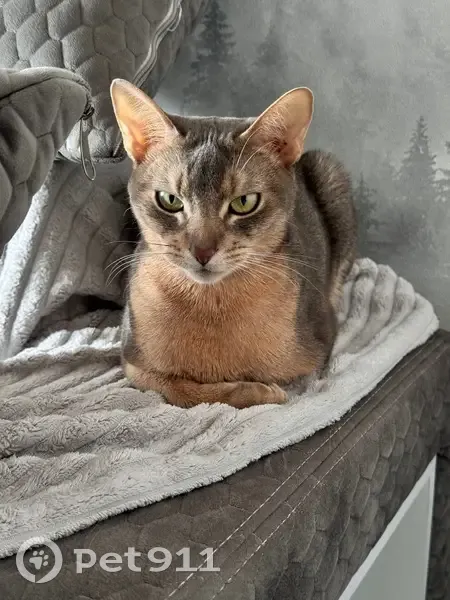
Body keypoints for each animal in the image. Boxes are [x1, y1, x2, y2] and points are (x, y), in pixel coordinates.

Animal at [110, 79, 357, 409]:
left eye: (244, 202)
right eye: (170, 200)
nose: (202, 251)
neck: (211, 303)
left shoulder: (319, 354)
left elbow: (293, 383)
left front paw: (263, 388)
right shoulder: (132, 361)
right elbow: (179, 390)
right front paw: (255, 390)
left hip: (330, 174)